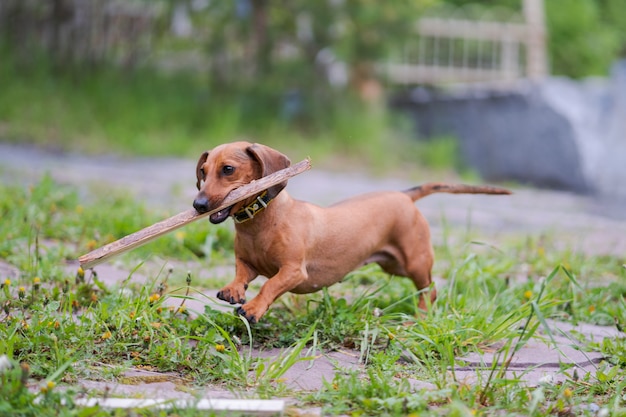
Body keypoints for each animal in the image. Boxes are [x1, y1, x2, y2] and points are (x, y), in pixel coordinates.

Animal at [193, 141, 510, 322]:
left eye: (228, 169)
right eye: (203, 172)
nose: (198, 205)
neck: (261, 222)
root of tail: (404, 195)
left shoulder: (293, 271)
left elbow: (270, 285)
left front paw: (254, 308)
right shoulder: (247, 263)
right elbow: (241, 274)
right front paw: (234, 290)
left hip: (415, 262)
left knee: (429, 291)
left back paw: (419, 318)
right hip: (393, 265)